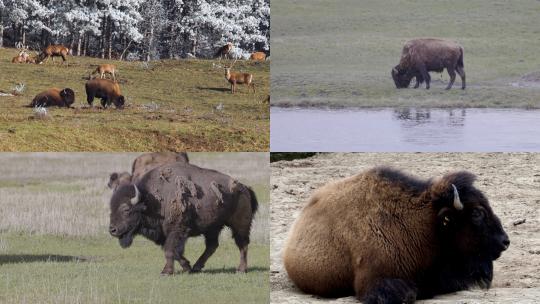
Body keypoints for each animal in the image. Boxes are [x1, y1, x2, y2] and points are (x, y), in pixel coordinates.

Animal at [108, 163, 258, 274]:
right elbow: (174, 252)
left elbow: (170, 250)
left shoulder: (176, 230)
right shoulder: (165, 234)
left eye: (126, 210)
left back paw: (241, 269)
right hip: (212, 228)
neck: (149, 200)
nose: (112, 230)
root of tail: (244, 188)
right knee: (212, 246)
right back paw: (197, 267)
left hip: (239, 225)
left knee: (242, 245)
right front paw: (187, 267)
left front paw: (166, 272)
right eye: (111, 208)